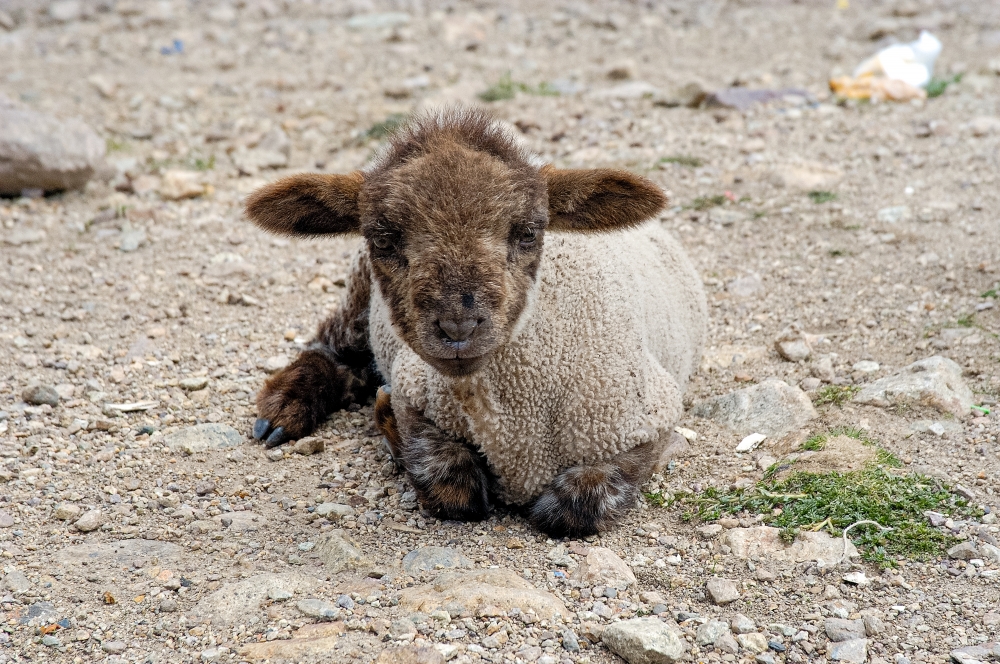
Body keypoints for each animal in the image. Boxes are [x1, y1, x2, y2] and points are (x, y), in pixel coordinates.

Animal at [245, 107, 708, 536]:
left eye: (528, 233)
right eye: (384, 240)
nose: (458, 329)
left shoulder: (650, 417)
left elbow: (572, 508)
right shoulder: (414, 387)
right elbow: (455, 488)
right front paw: (390, 425)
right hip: (360, 296)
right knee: (332, 346)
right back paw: (283, 411)